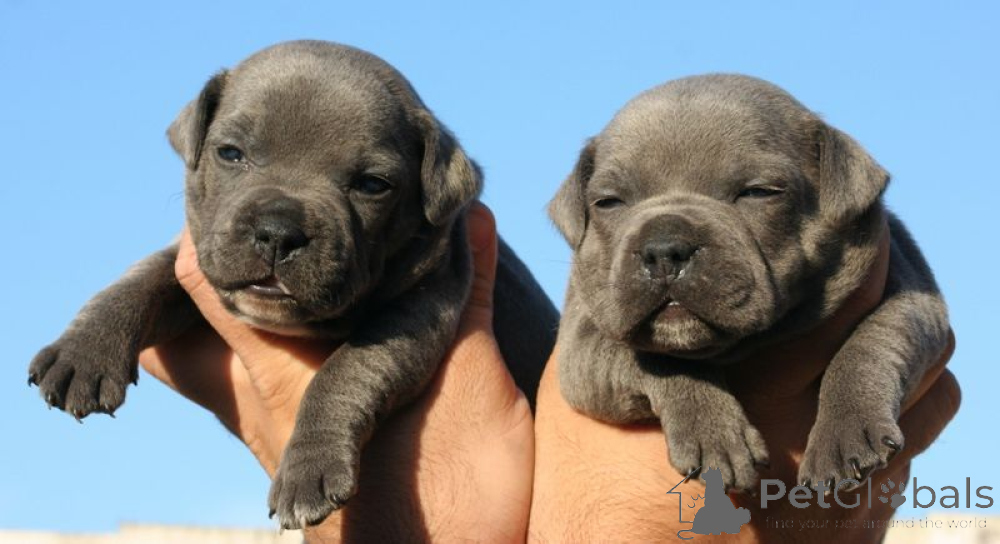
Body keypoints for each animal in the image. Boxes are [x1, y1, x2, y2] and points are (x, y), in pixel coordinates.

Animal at [28, 40, 558, 529]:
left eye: (372, 185)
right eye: (230, 154)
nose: (278, 232)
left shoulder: (424, 306)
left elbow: (347, 369)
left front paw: (310, 468)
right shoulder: (201, 261)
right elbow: (144, 276)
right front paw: (85, 350)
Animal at [549, 74, 949, 493]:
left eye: (758, 192)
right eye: (608, 203)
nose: (664, 250)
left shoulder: (914, 298)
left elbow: (868, 342)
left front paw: (845, 431)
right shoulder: (579, 347)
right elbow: (657, 357)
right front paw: (713, 433)